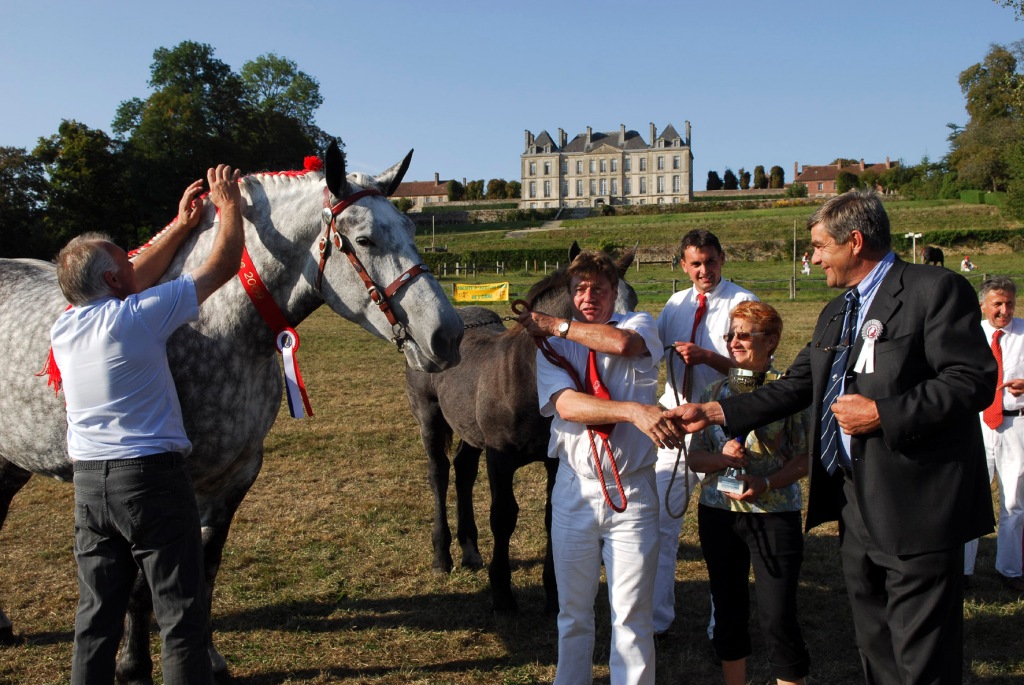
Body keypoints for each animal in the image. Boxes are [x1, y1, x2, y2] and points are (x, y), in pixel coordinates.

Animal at [0, 141, 464, 679]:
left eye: (412, 230)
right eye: (364, 240)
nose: (448, 336)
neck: (214, 323)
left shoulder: (234, 478)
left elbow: (205, 571)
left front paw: (210, 659)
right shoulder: (161, 482)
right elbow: (141, 586)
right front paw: (133, 665)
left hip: (12, 462)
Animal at [405, 245, 630, 614]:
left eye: (633, 297)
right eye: (590, 299)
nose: (630, 342)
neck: (529, 380)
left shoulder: (555, 461)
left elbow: (553, 515)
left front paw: (554, 593)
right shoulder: (500, 458)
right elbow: (503, 516)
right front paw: (502, 594)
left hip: (469, 431)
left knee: (464, 470)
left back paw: (470, 551)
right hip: (430, 417)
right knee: (438, 474)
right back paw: (442, 557)